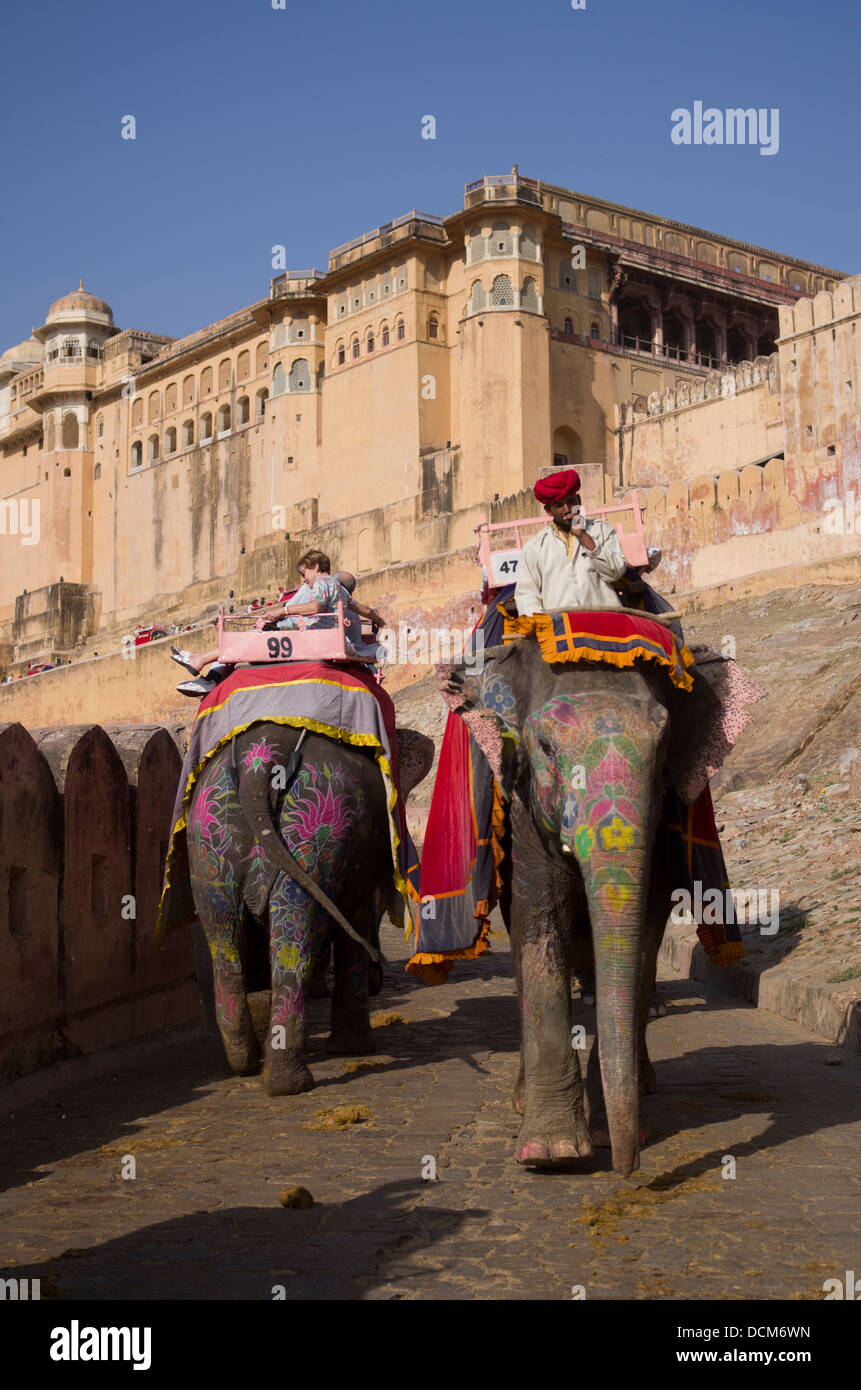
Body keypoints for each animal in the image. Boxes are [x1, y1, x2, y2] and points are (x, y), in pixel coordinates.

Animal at [189, 717, 431, 1095]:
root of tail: (259, 762)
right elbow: (357, 919)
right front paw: (355, 1048)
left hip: (213, 842)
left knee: (224, 939)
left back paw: (245, 1063)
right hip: (318, 834)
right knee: (295, 940)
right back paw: (291, 1083)